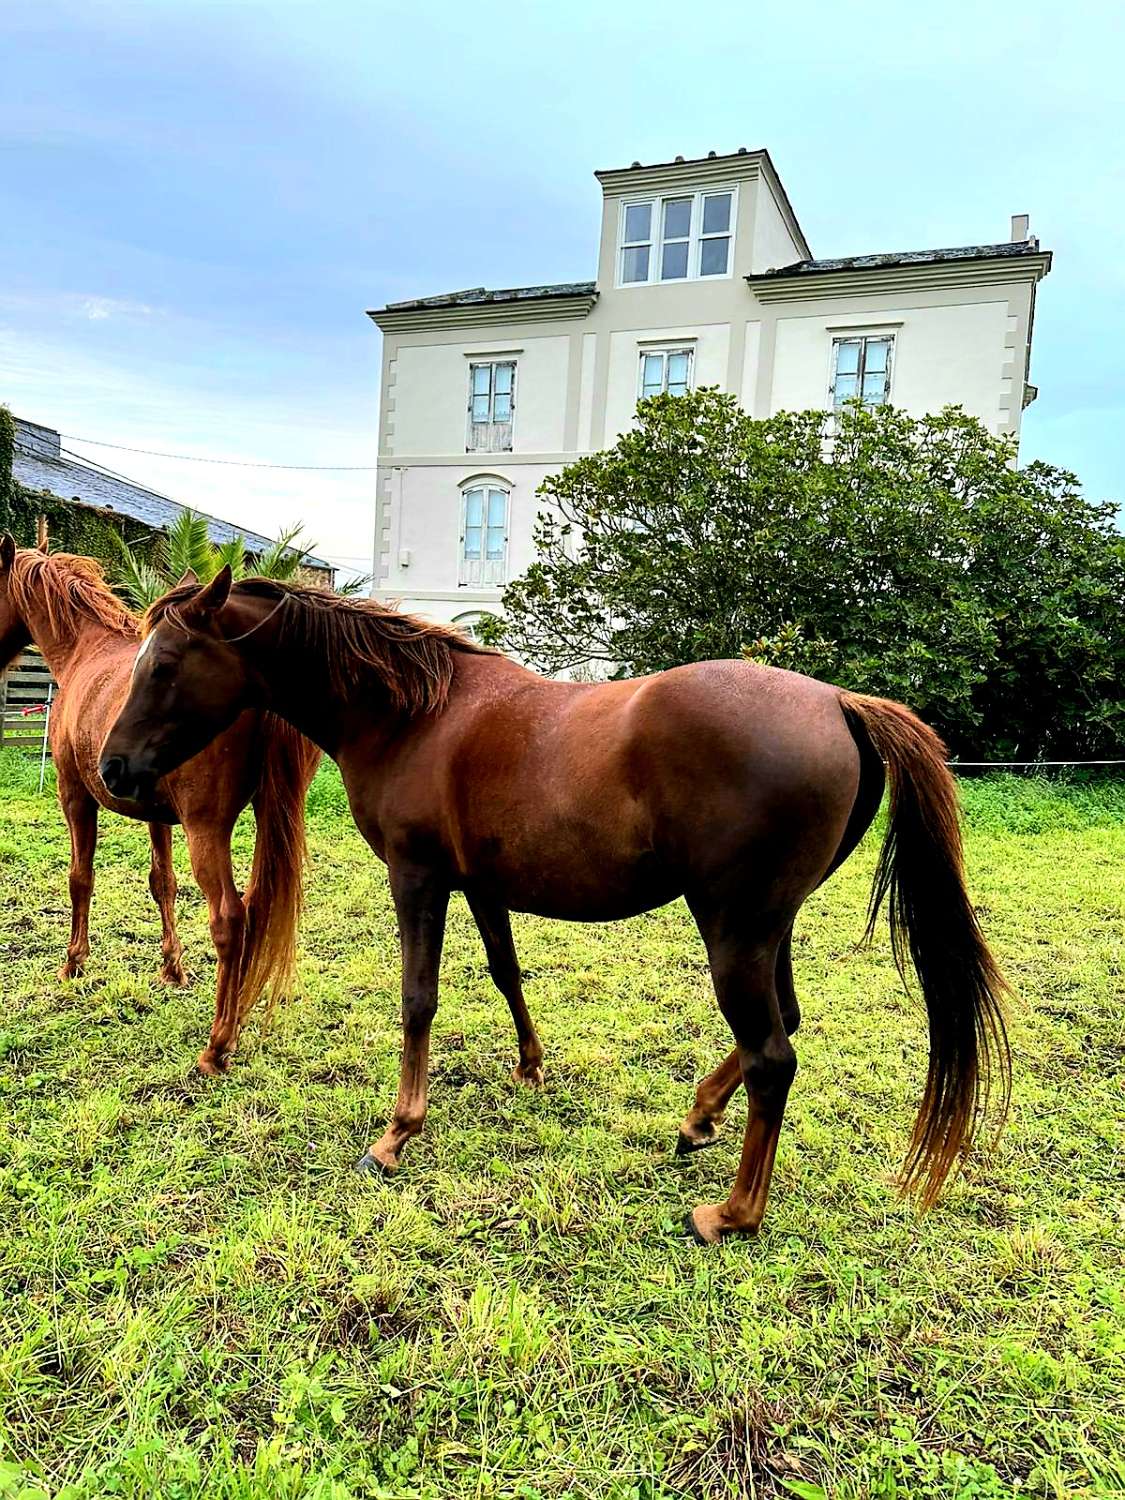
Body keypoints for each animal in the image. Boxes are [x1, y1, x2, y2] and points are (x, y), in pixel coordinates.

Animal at [0, 546, 319, 1074]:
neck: (86, 650)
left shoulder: (74, 795)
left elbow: (80, 878)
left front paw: (74, 962)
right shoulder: (155, 812)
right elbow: (162, 883)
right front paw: (172, 968)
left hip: (207, 830)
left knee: (230, 917)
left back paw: (218, 1044)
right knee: (254, 909)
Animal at [99, 570, 1014, 1242]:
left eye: (164, 666)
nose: (113, 768)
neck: (415, 713)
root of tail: (835, 702)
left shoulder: (417, 879)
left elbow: (418, 1001)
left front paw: (397, 1134)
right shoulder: (481, 886)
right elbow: (506, 973)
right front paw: (530, 1067)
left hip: (733, 928)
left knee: (772, 1056)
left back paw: (732, 1214)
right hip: (766, 928)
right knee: (782, 1024)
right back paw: (696, 1120)